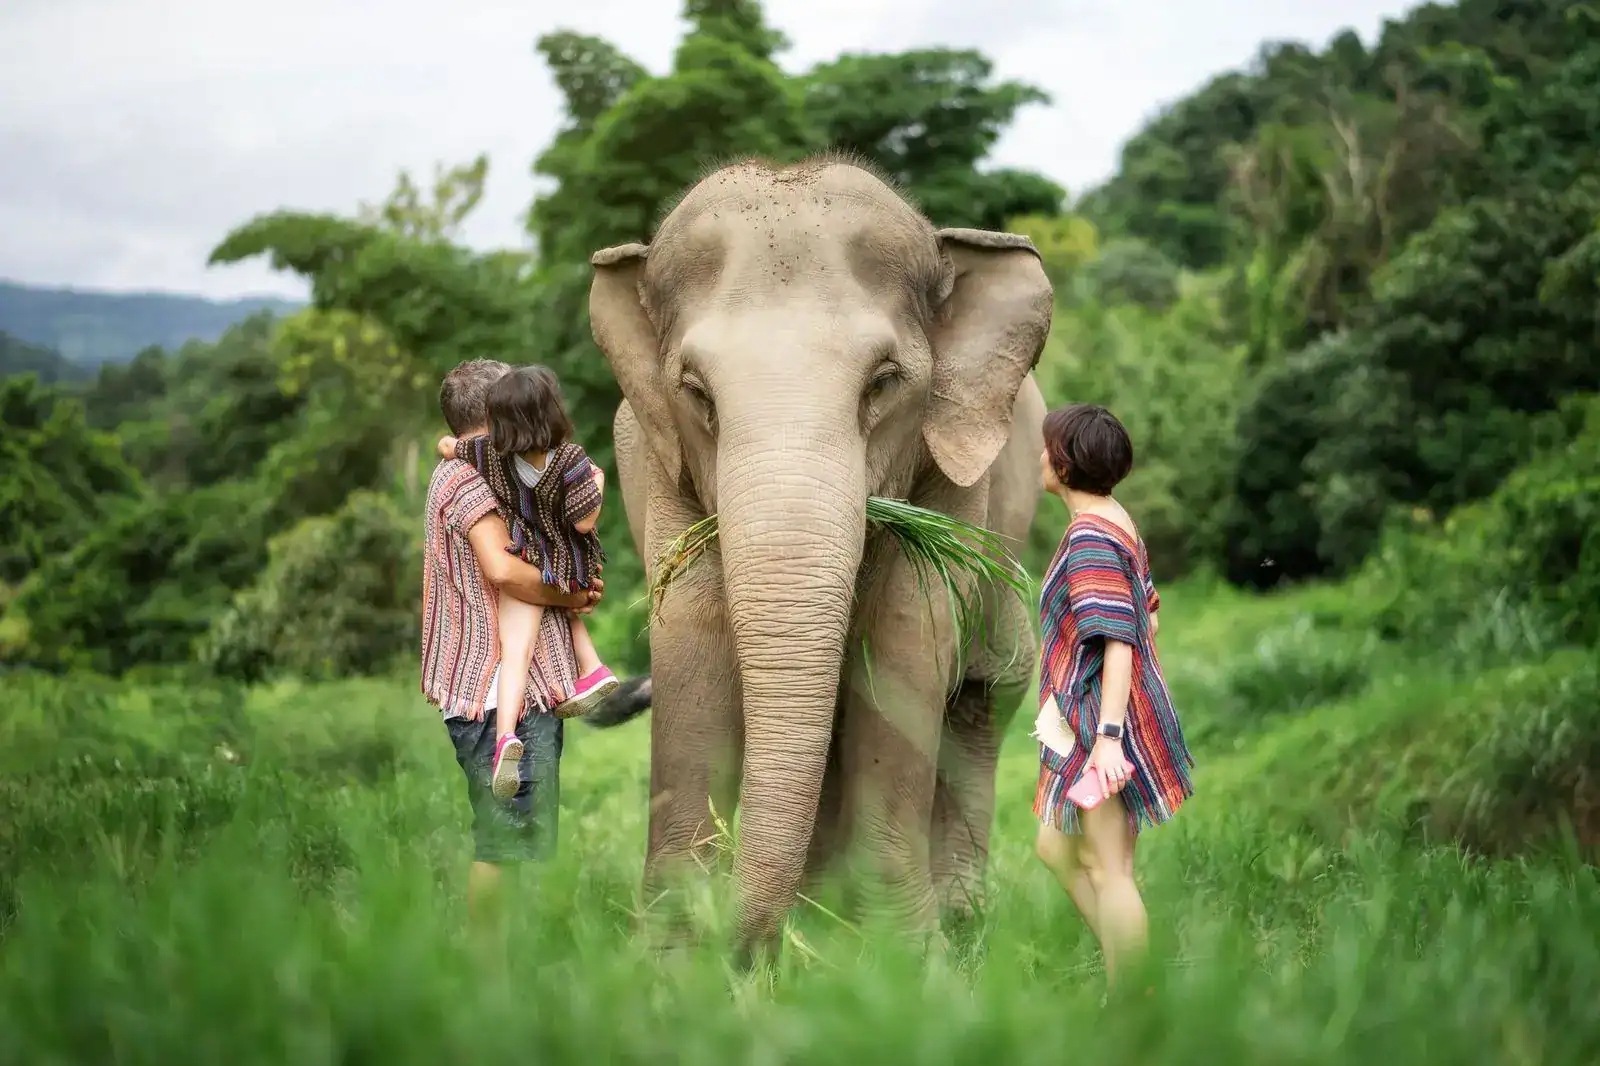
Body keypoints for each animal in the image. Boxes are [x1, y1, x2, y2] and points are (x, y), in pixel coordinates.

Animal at [586, 155, 1051, 962]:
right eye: (696, 392)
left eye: (883, 382)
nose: (745, 954)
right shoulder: (653, 460)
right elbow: (693, 637)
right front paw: (670, 965)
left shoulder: (959, 473)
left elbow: (907, 640)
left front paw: (907, 961)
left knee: (978, 706)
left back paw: (951, 921)